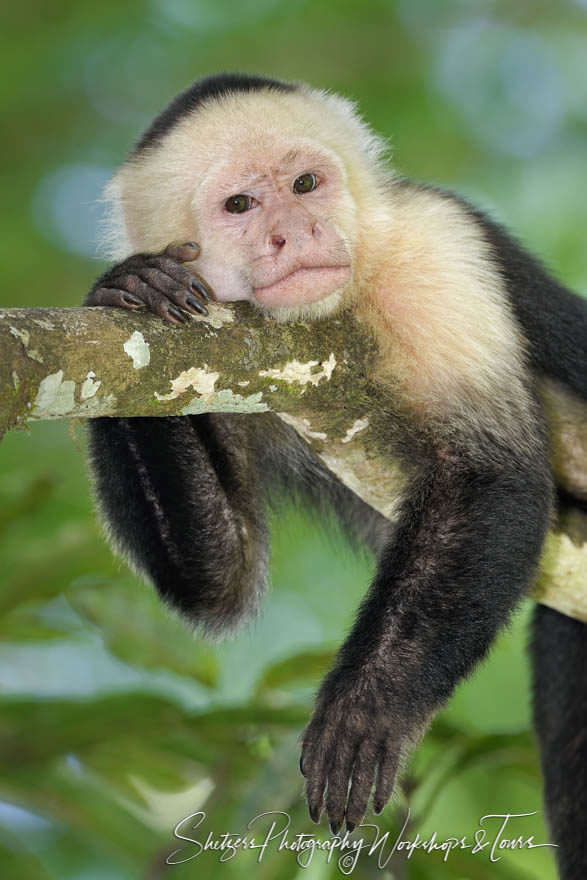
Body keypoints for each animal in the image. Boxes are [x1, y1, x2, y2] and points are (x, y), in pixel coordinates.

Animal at [84, 74, 587, 872]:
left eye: (305, 185)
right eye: (240, 205)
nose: (295, 232)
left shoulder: (435, 246)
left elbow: (493, 476)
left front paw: (364, 712)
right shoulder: (212, 338)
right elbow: (220, 575)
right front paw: (131, 287)